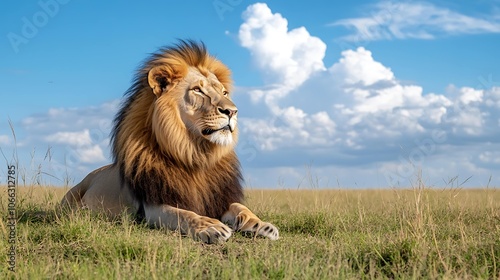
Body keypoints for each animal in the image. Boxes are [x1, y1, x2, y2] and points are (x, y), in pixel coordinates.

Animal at [61, 40, 280, 244]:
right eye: (198, 90)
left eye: (224, 93)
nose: (233, 111)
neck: (195, 153)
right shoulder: (151, 207)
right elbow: (182, 214)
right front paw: (209, 226)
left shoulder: (218, 198)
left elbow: (240, 207)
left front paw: (261, 224)